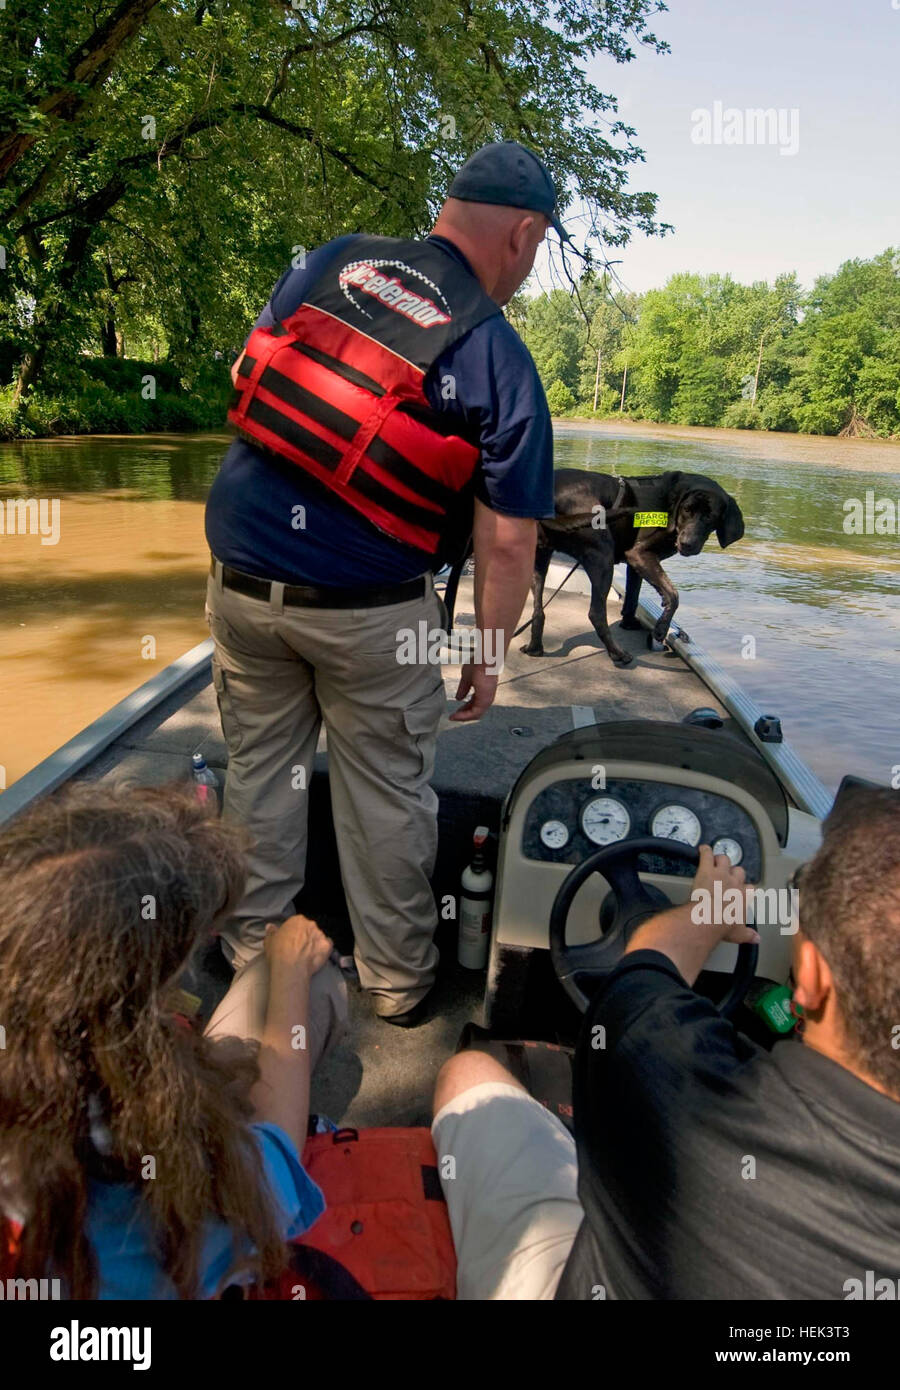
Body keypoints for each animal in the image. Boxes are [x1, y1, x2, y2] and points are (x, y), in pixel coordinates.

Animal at [520, 467, 745, 661]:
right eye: (687, 510)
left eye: (710, 517)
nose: (687, 543)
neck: (671, 506)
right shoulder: (639, 554)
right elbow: (673, 594)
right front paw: (661, 629)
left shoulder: (635, 564)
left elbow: (633, 597)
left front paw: (629, 623)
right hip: (602, 556)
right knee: (596, 613)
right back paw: (618, 654)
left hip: (539, 558)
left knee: (538, 610)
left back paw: (534, 648)